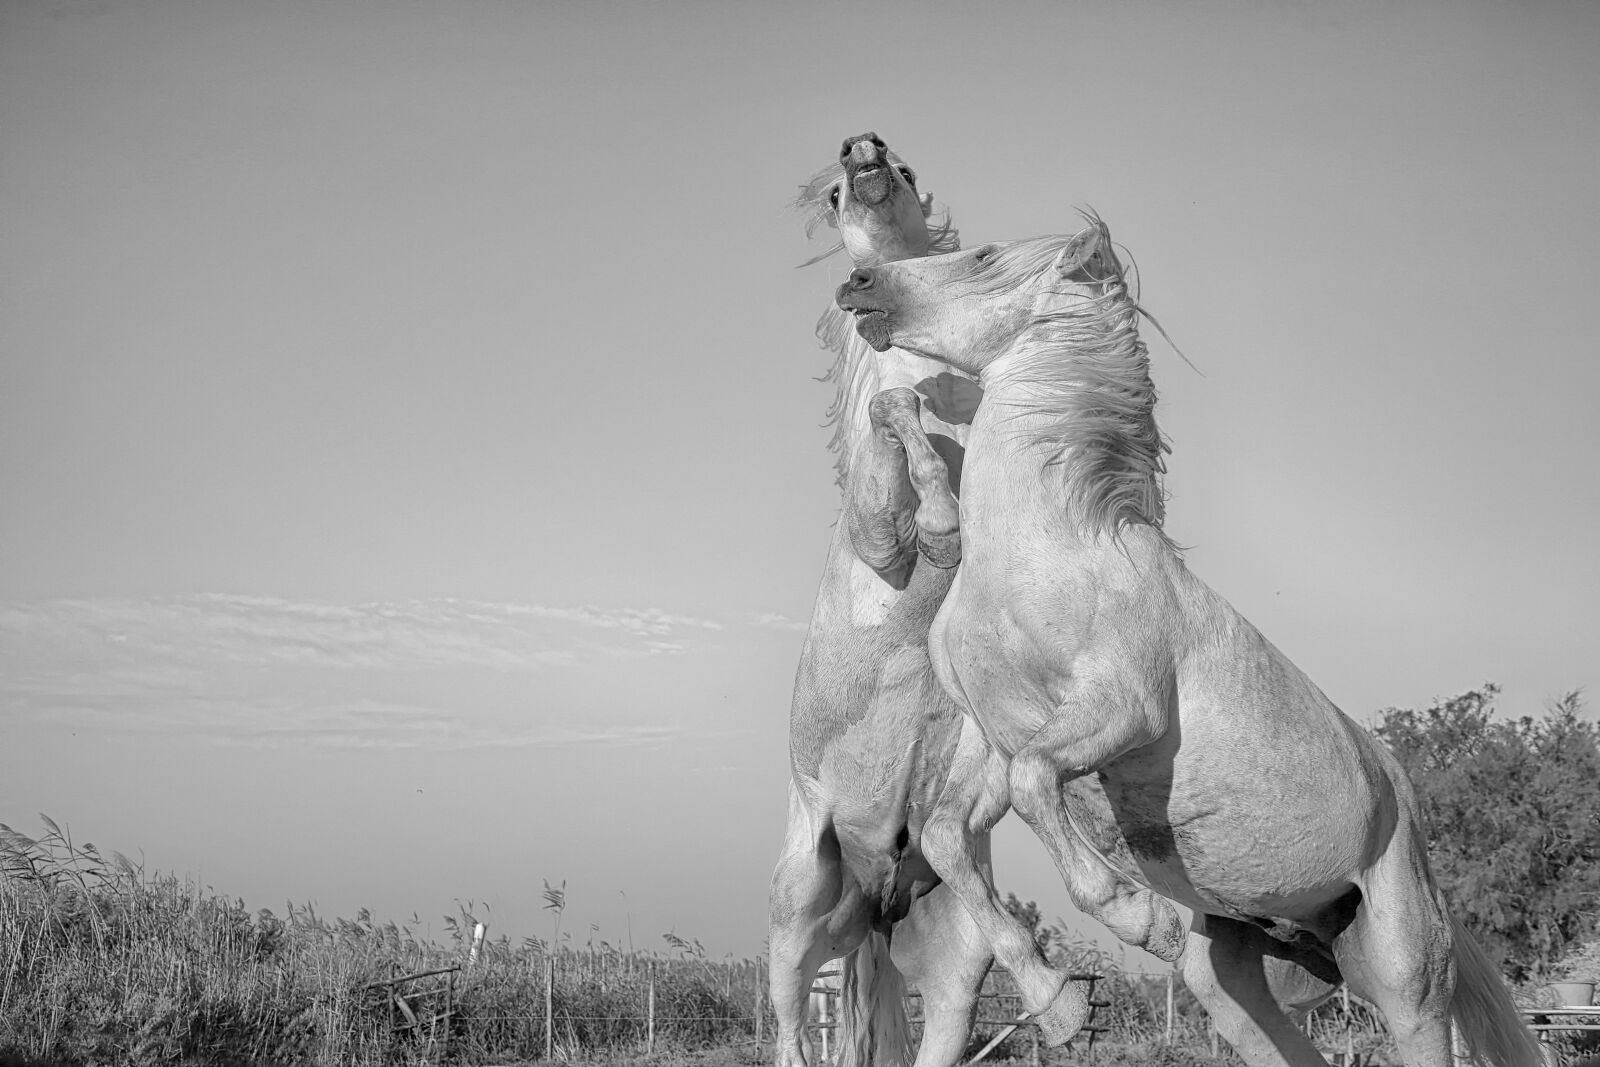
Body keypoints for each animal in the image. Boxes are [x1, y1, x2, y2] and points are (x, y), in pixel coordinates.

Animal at [832, 216, 1543, 1067]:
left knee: (1417, 1019)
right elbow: (947, 834)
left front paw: (1136, 917)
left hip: (1404, 967)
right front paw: (1062, 1005)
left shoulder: (1122, 708)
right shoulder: (996, 737)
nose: (859, 285)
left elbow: (1040, 786)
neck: (1043, 553)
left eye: (981, 256)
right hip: (1236, 976)